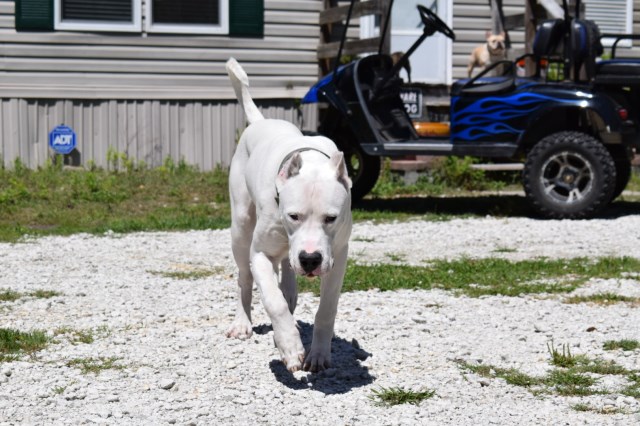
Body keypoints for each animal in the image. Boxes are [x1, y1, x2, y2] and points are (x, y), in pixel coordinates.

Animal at [225, 58, 356, 372]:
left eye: (331, 218)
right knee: (245, 277)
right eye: (293, 216)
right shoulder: (260, 254)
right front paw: (290, 346)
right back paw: (243, 322)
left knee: (285, 268)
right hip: (241, 228)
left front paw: (318, 353)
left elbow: (327, 308)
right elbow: (273, 302)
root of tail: (260, 121)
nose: (310, 259)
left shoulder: (339, 256)